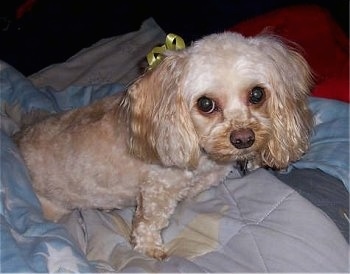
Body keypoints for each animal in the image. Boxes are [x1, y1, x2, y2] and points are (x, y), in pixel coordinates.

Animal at [14, 31, 314, 260]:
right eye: (206, 104)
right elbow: (150, 221)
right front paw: (149, 248)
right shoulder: (158, 190)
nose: (243, 139)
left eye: (257, 94)